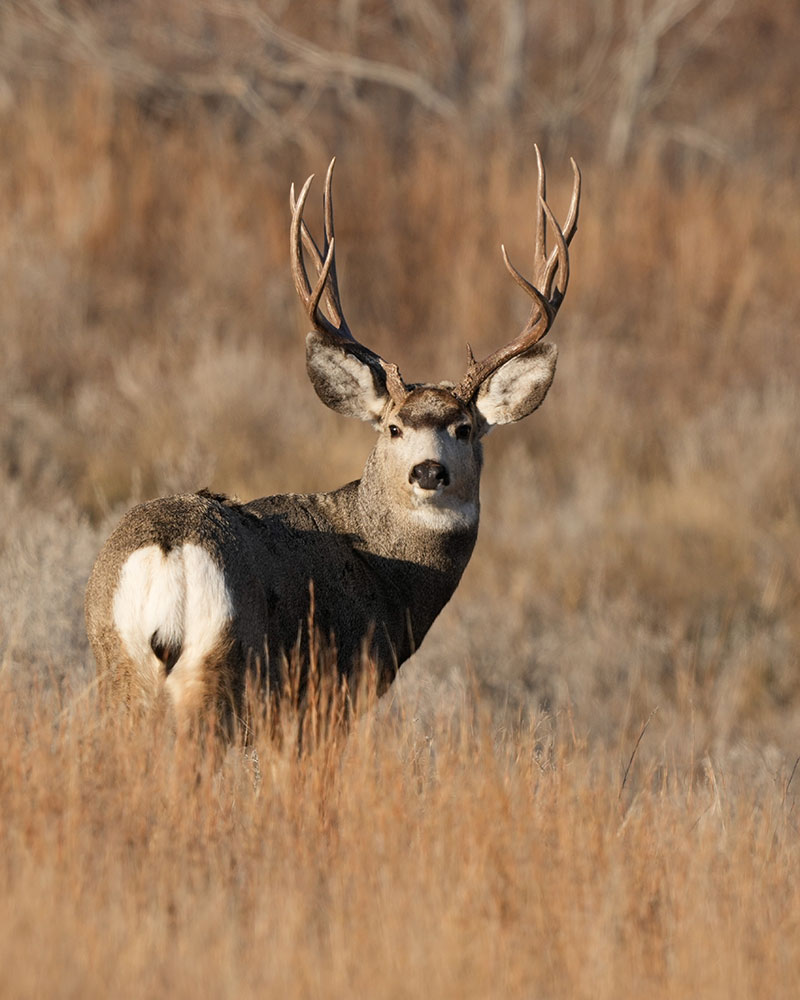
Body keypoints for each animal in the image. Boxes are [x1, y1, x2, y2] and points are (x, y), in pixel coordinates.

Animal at [84, 145, 580, 732]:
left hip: (117, 663)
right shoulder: (333, 689)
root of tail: (167, 551)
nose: (428, 471)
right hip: (224, 665)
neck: (383, 573)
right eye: (394, 427)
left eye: (463, 428)